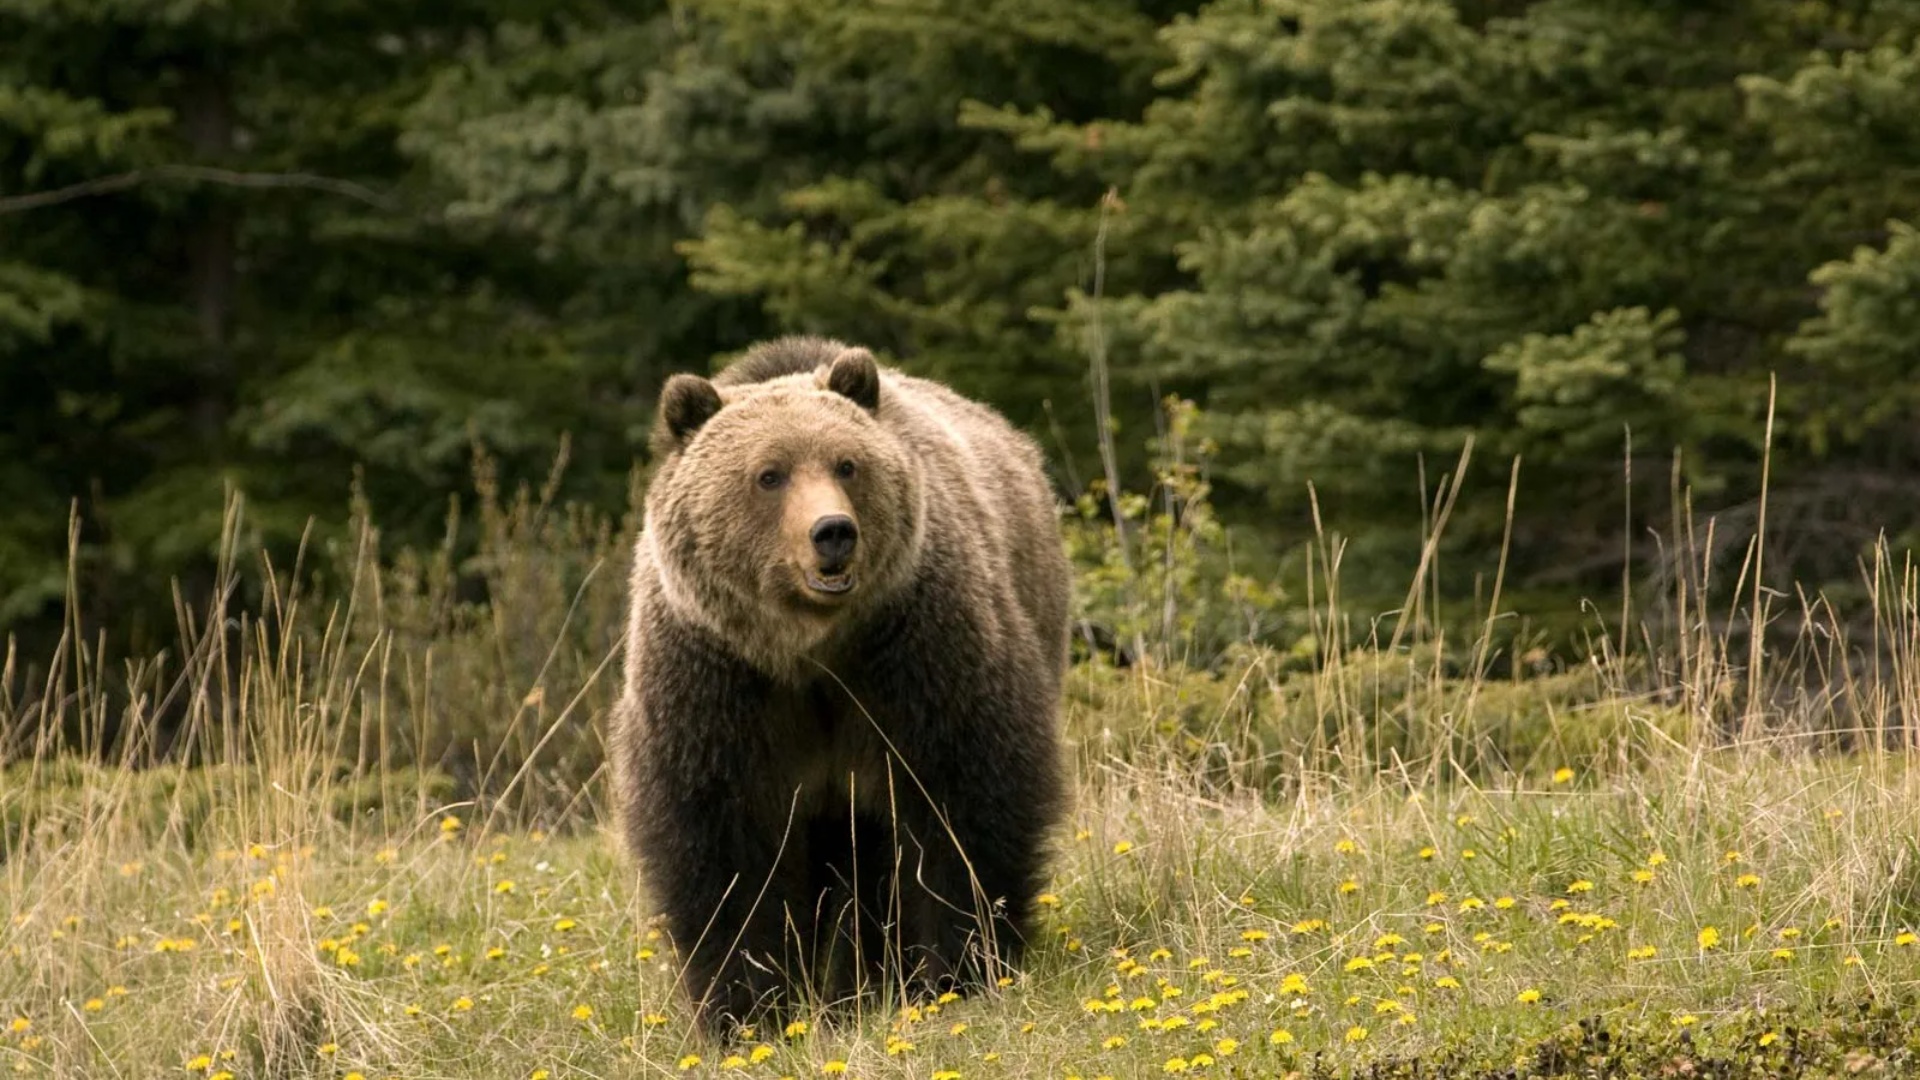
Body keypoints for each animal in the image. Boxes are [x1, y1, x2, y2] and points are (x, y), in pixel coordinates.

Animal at [610, 336, 1075, 1037]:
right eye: (769, 474)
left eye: (847, 464)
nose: (833, 532)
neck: (810, 652)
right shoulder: (718, 684)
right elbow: (724, 849)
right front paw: (749, 1009)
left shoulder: (914, 657)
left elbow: (961, 804)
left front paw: (956, 971)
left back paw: (869, 984)